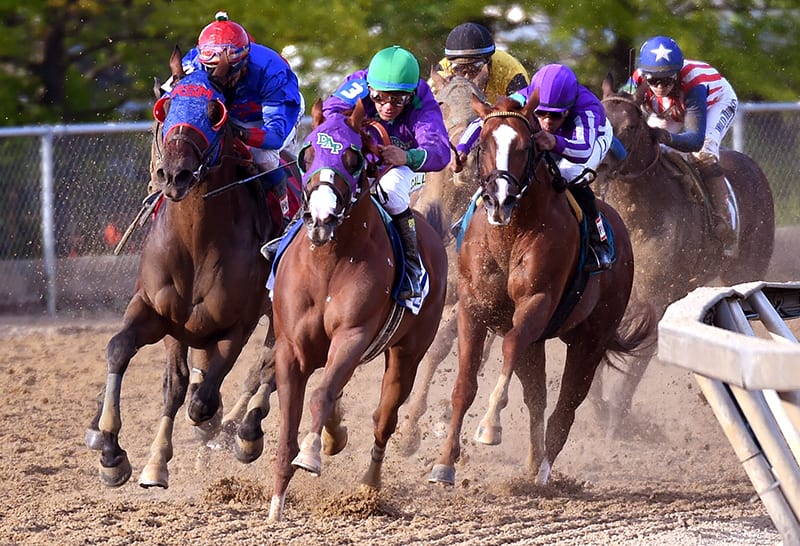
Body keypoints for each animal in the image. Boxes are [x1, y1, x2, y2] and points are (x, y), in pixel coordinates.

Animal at [84, 49, 278, 486]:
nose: (174, 174)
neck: (196, 242)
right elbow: (125, 353)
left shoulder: (236, 324)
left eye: (215, 111)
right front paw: (114, 452)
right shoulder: (161, 313)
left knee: (264, 369)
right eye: (166, 106)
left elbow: (201, 398)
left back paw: (242, 432)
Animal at [255, 100, 450, 520]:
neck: (327, 262)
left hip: (408, 354)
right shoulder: (290, 347)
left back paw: (369, 486)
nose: (320, 218)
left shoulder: (353, 335)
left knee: (383, 419)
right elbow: (290, 421)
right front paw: (276, 503)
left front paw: (311, 454)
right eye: (307, 154)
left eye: (353, 157)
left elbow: (322, 393)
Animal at [428, 94, 652, 484]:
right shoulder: (474, 308)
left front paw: (490, 426)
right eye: (482, 143)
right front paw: (444, 463)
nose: (499, 199)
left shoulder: (536, 303)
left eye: (523, 145)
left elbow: (509, 347)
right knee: (537, 398)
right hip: (540, 343)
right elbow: (465, 384)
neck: (510, 232)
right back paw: (534, 461)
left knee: (566, 406)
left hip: (590, 339)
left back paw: (544, 470)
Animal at [592, 77, 776, 434]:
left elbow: (634, 368)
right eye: (601, 119)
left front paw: (614, 423)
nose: (601, 164)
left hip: (746, 269)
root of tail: (754, 168)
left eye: (631, 126)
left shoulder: (657, 302)